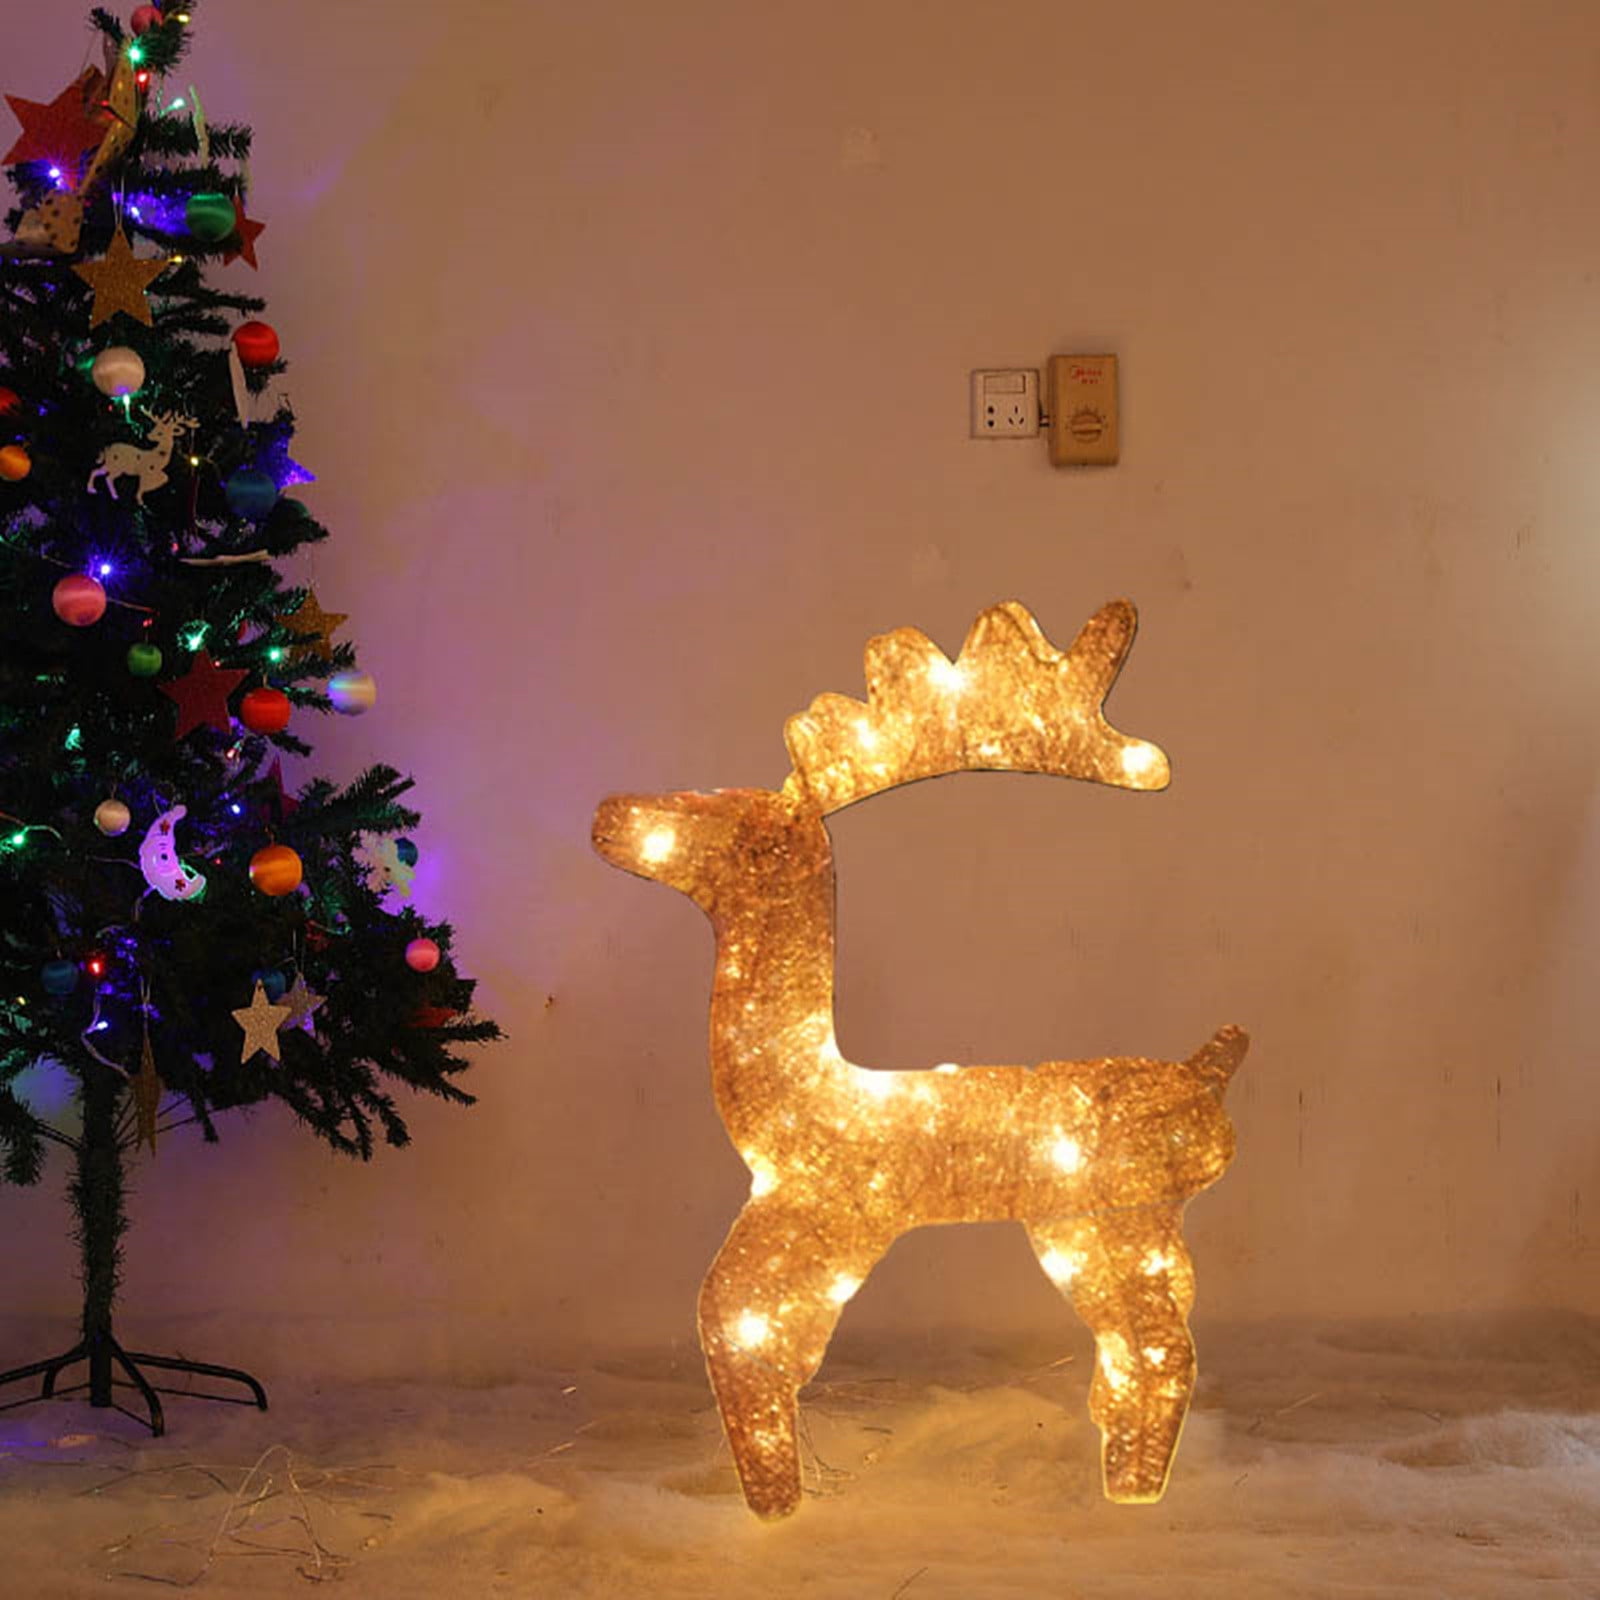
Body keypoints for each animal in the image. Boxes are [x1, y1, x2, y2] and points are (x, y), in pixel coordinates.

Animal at [592, 599, 1248, 1521]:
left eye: (734, 826)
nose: (611, 811)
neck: (795, 1098)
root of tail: (1205, 1077)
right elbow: (751, 1336)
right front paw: (780, 1492)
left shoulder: (822, 1221)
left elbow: (738, 1326)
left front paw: (775, 1500)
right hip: (1137, 1234)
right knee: (1149, 1347)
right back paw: (1119, 1467)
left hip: (1104, 1226)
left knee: (1162, 1353)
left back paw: (1131, 1492)